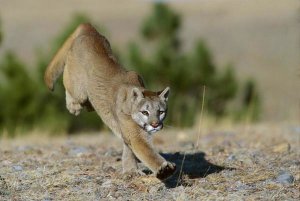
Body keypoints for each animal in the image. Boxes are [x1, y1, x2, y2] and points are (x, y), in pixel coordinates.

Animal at [44, 23, 176, 179]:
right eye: (145, 112)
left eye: (161, 112)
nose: (155, 124)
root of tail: (89, 29)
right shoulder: (135, 134)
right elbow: (147, 152)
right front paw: (163, 169)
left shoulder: (128, 132)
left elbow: (128, 149)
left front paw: (130, 170)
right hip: (77, 88)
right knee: (69, 85)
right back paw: (74, 107)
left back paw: (89, 105)